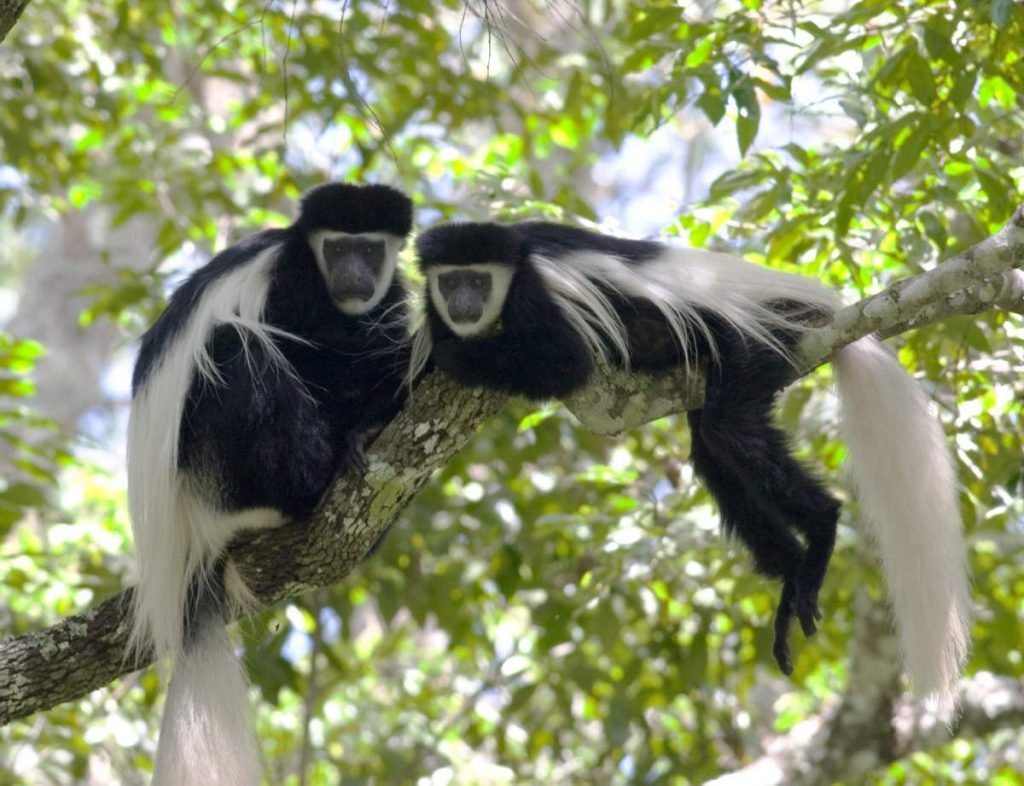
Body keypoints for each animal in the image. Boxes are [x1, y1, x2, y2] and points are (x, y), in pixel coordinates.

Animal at [130, 181, 413, 781]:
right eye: (338, 248)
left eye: (370, 249)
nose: (354, 274)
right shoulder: (291, 284)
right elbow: (313, 353)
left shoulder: (390, 296)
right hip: (213, 471)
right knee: (238, 348)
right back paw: (314, 478)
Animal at [411, 221, 970, 720]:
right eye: (450, 282)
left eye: (477, 281)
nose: (464, 304)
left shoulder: (538, 297)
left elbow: (565, 365)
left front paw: (460, 355)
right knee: (712, 450)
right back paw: (792, 577)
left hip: (758, 340)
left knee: (730, 432)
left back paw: (822, 527)